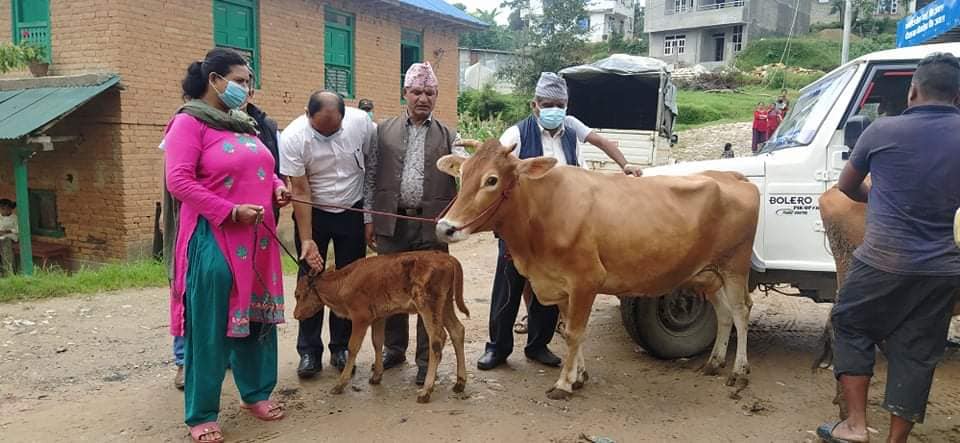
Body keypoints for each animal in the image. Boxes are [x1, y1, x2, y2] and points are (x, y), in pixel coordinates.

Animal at [294, 251, 470, 404]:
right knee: (457, 330)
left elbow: (353, 347)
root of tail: (447, 258)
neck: (343, 282)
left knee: (437, 339)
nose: (295, 314)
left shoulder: (360, 317)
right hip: (445, 304)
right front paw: (376, 376)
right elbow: (377, 342)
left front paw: (340, 384)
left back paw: (426, 391)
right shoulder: (378, 317)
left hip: (428, 305)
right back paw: (460, 383)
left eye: (298, 294)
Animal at [436, 140, 756, 398]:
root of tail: (732, 176)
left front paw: (564, 383)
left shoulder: (585, 281)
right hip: (708, 274)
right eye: (462, 175)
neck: (544, 210)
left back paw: (739, 371)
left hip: (735, 268)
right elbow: (570, 331)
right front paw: (579, 376)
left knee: (741, 312)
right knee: (724, 314)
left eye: (491, 180)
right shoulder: (560, 285)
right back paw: (714, 362)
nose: (445, 228)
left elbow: (575, 333)